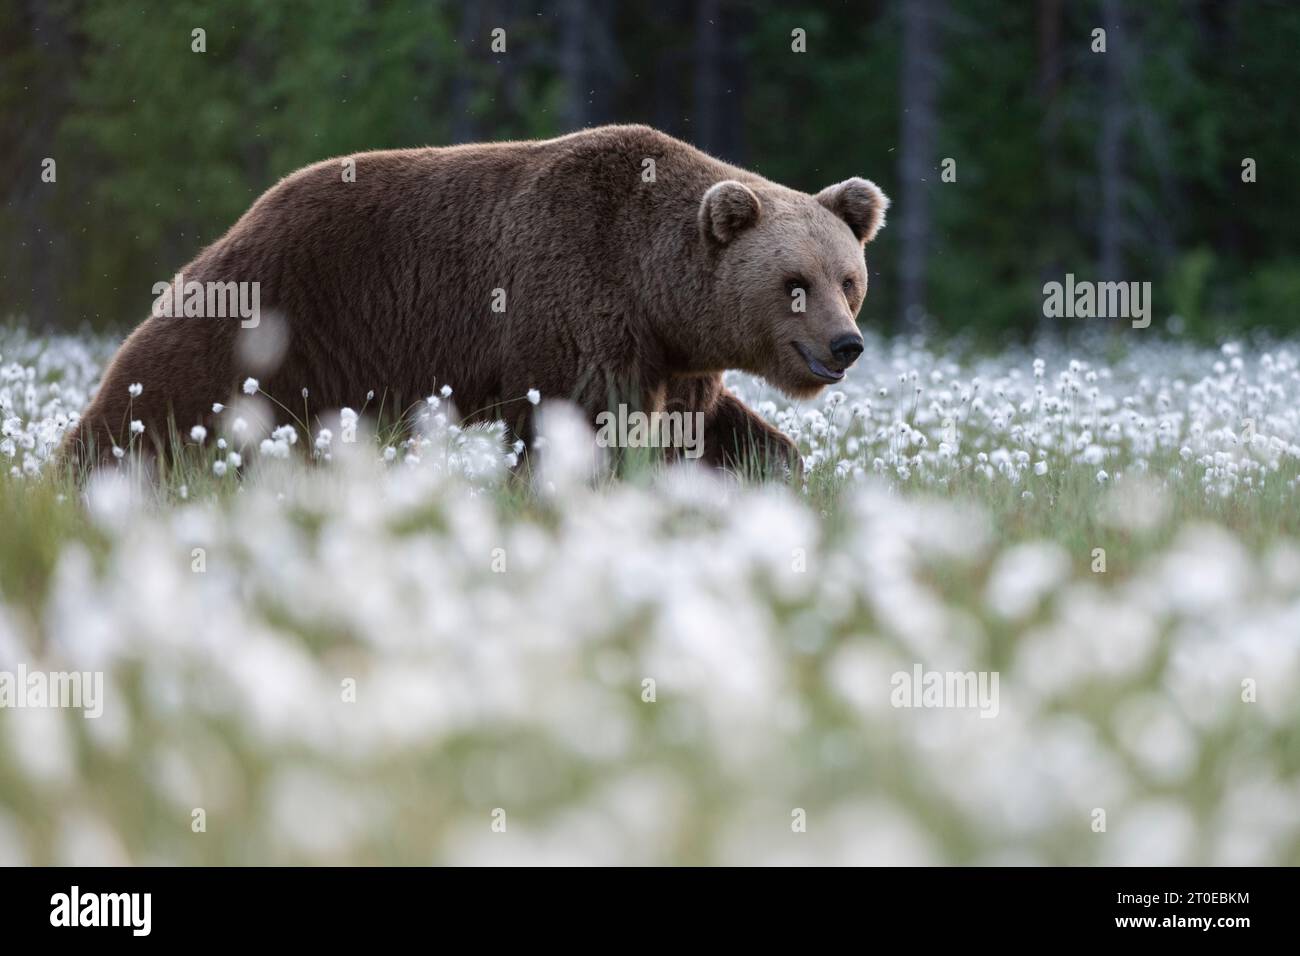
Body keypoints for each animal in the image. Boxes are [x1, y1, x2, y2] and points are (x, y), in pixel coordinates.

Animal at [65, 123, 889, 476]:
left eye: (848, 281)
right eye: (794, 284)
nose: (845, 344)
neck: (654, 288)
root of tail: (250, 211)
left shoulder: (674, 358)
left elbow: (712, 432)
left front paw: (775, 467)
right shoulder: (577, 304)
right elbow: (588, 424)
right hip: (277, 308)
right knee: (167, 389)